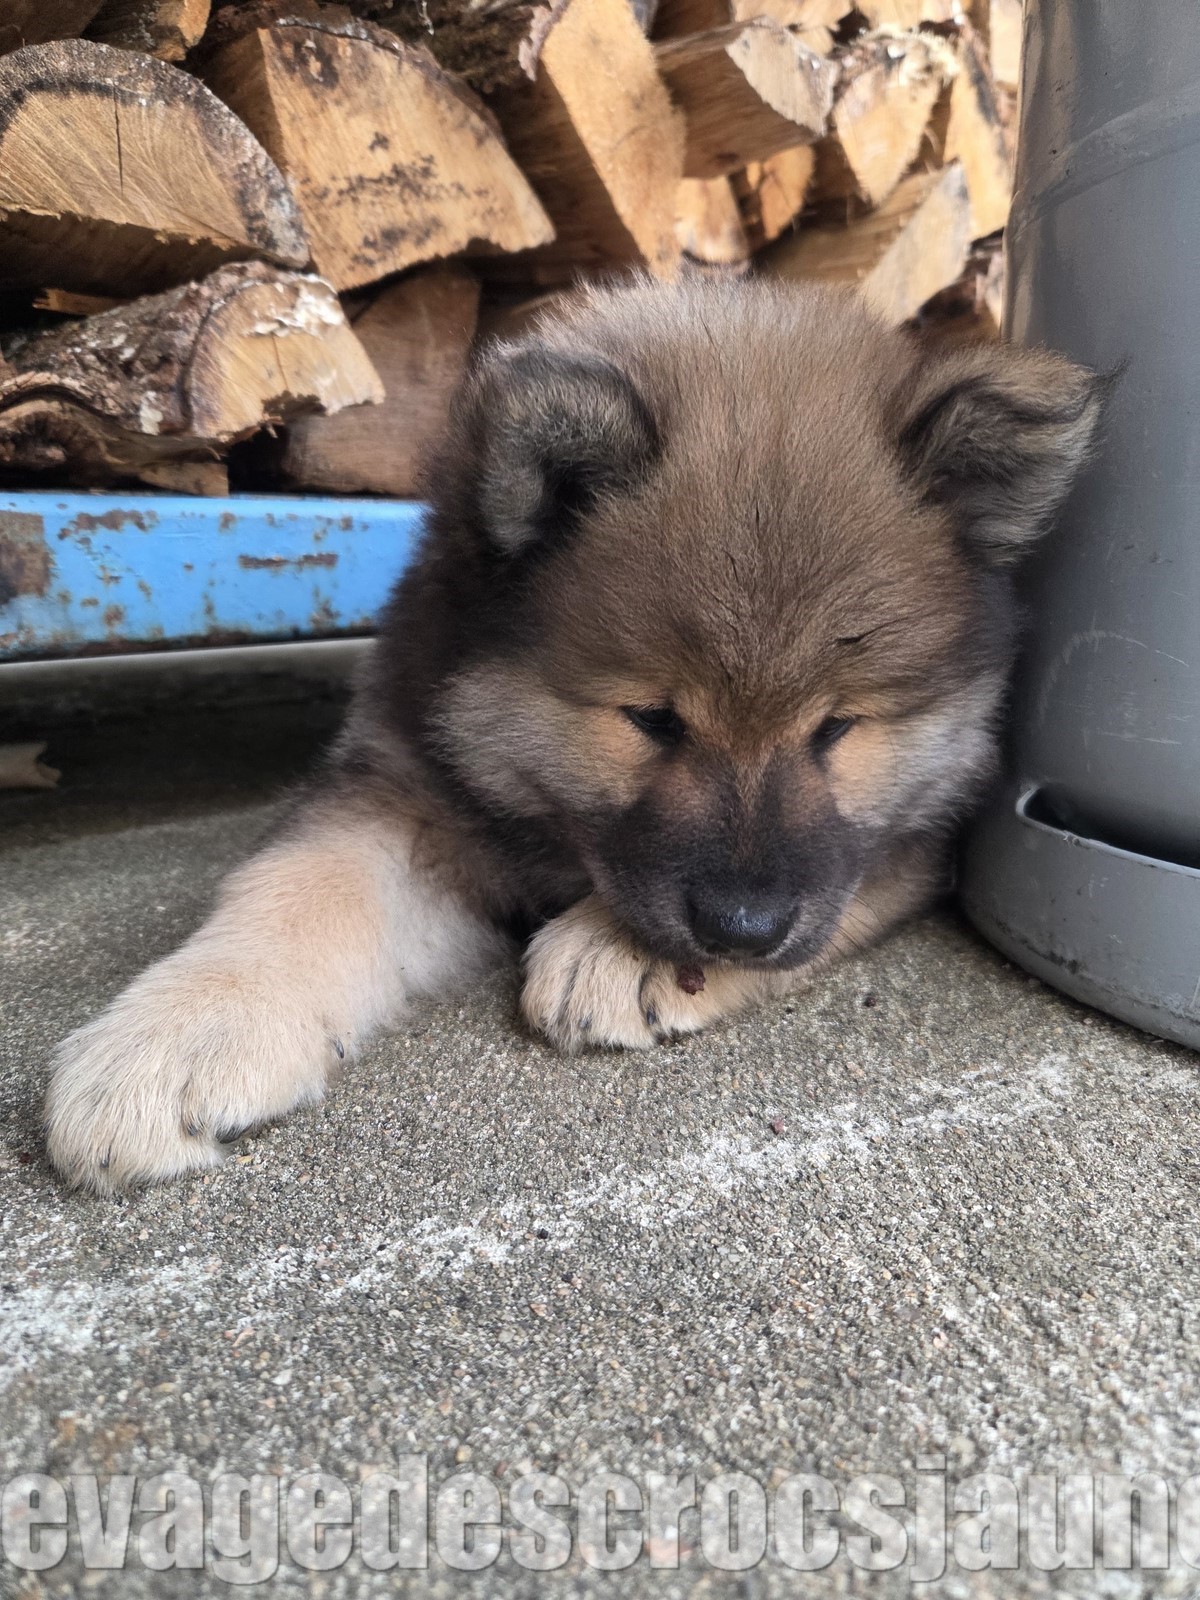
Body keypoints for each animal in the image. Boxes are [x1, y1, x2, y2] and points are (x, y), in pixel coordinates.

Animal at [44, 276, 1104, 1192]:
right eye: (652, 720)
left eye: (837, 726)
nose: (742, 929)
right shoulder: (404, 793)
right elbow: (297, 887)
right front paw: (180, 1032)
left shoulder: (919, 834)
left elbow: (851, 885)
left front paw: (618, 951)